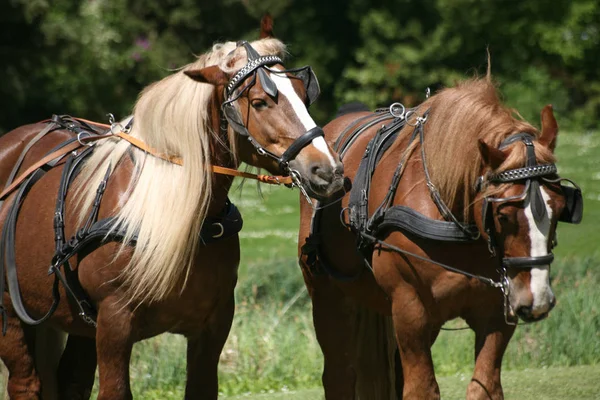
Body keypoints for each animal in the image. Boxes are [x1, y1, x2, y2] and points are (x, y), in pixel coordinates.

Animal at [0, 26, 342, 398]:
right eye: (259, 102)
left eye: (303, 96)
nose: (328, 170)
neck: (165, 213)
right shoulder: (114, 324)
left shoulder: (212, 326)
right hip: (11, 312)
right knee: (25, 382)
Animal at [298, 78, 580, 400]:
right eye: (504, 214)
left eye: (560, 208)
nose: (537, 299)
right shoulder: (410, 310)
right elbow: (422, 389)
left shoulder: (496, 312)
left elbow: (483, 386)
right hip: (327, 296)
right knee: (339, 375)